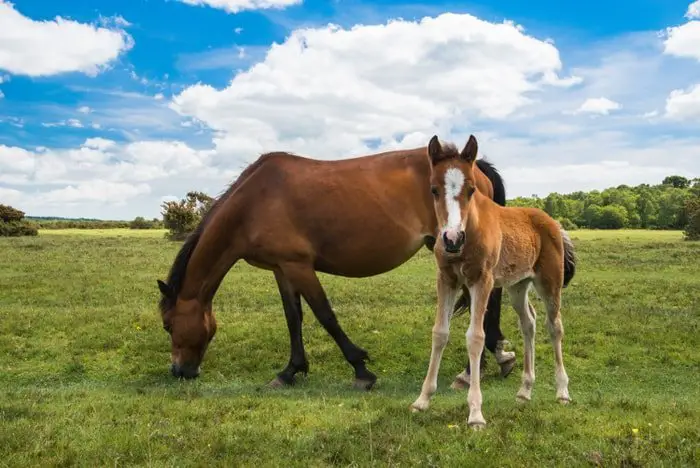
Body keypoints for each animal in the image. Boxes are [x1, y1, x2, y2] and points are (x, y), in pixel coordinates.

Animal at [157, 144, 516, 390]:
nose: (179, 371)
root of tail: (475, 167)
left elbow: (325, 315)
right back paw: (495, 357)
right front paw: (290, 371)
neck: (253, 202)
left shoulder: (299, 266)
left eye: (168, 325)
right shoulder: (281, 268)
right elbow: (294, 318)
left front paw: (361, 371)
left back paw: (471, 371)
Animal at [408, 134, 576, 428]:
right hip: (518, 285)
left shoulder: (482, 280)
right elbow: (439, 333)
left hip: (550, 280)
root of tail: (554, 223)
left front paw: (475, 413)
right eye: (433, 190)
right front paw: (422, 400)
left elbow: (475, 336)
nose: (452, 239)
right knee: (529, 323)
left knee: (554, 326)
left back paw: (562, 392)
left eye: (472, 189)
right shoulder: (447, 279)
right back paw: (524, 391)